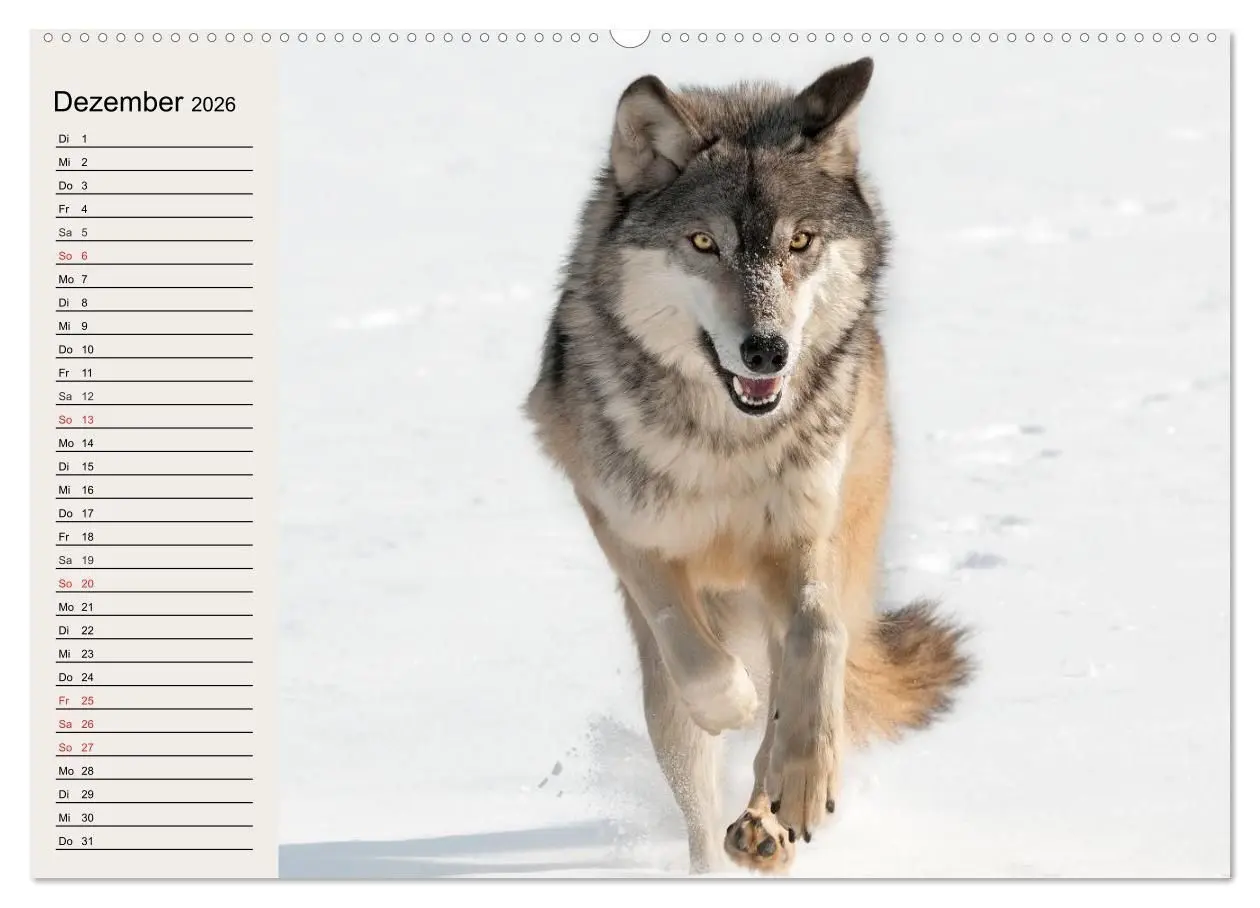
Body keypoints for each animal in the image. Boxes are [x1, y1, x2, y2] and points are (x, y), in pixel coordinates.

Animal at [525, 57, 973, 875]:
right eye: (704, 242)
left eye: (801, 242)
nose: (767, 350)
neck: (727, 444)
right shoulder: (617, 518)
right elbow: (690, 645)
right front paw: (728, 701)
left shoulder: (801, 538)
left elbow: (821, 637)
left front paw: (801, 781)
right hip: (664, 695)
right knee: (698, 801)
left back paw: (769, 822)